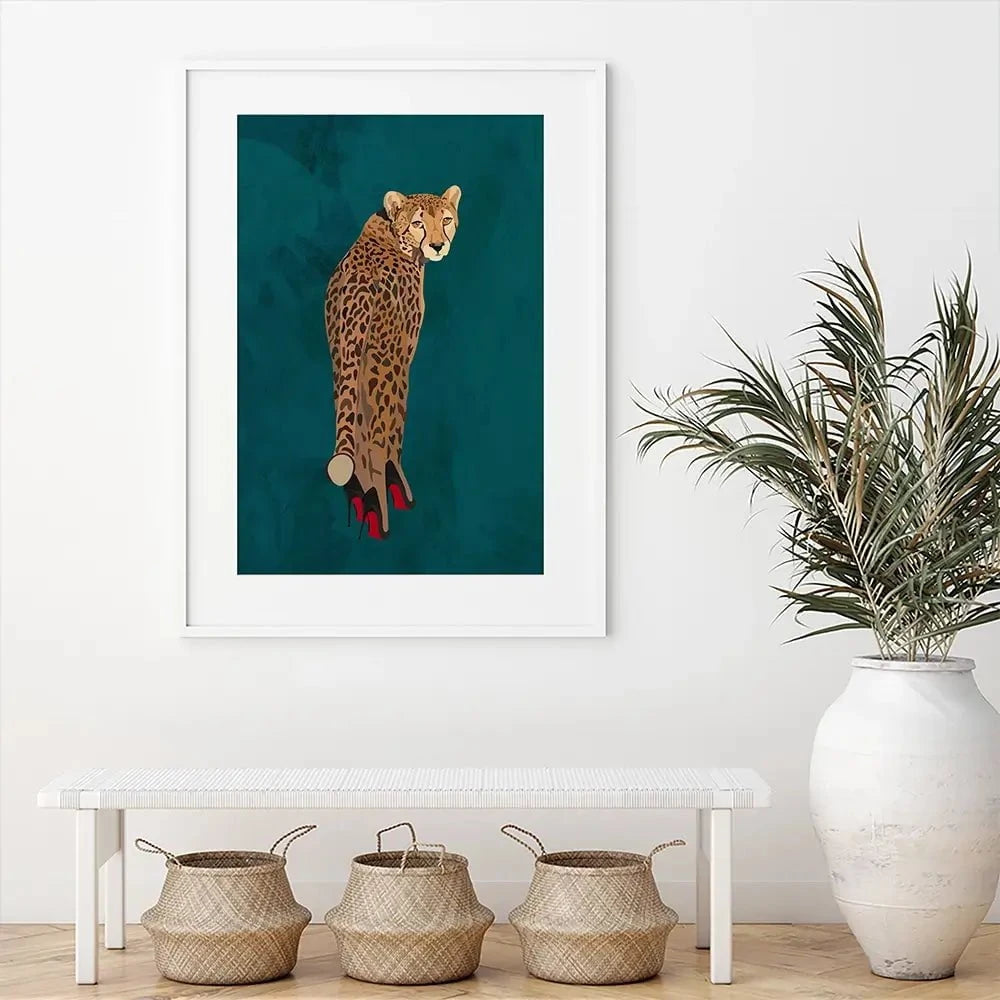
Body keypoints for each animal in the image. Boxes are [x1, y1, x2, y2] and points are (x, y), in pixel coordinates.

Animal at [324, 185, 461, 540]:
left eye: (445, 219)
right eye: (418, 223)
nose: (438, 245)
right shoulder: (402, 350)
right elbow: (392, 422)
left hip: (344, 356)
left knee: (356, 423)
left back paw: (362, 495)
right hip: (384, 362)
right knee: (379, 433)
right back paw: (384, 498)